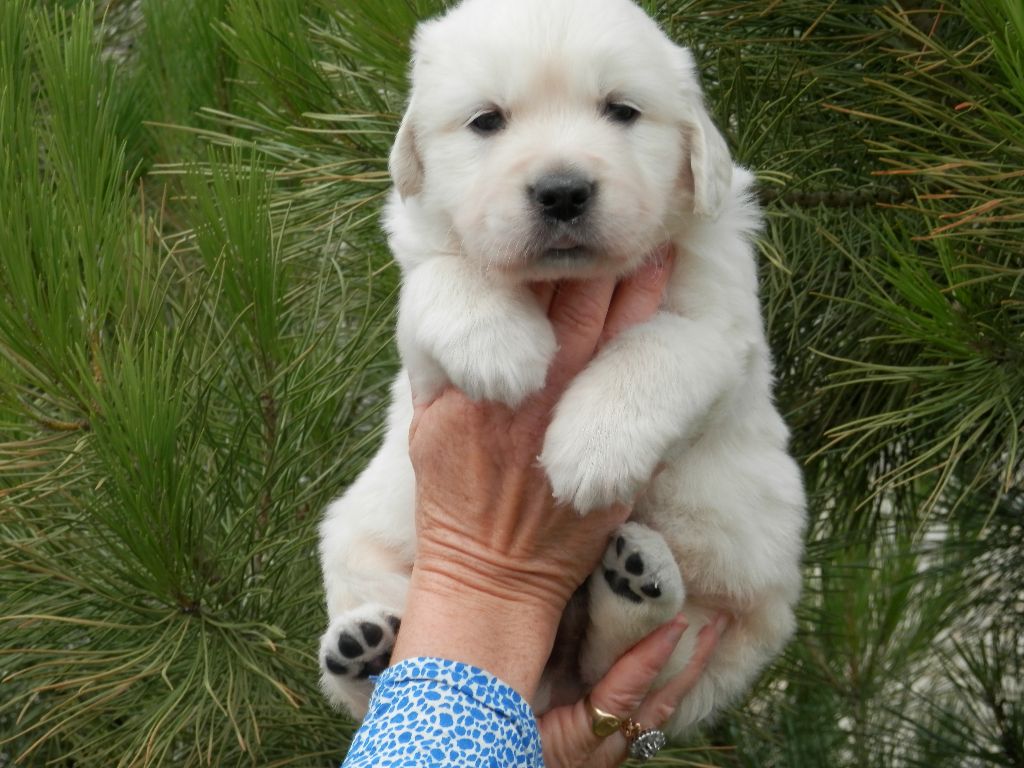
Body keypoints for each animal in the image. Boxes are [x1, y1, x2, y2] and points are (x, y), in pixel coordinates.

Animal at [315, 0, 802, 741]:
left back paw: (638, 578)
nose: (563, 192)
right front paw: (501, 347)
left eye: (621, 110)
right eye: (487, 121)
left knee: (633, 656)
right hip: (358, 541)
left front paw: (591, 450)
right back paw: (364, 642)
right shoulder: (422, 345)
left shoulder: (722, 326)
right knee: (371, 662)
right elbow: (446, 277)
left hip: (728, 611)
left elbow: (658, 350)